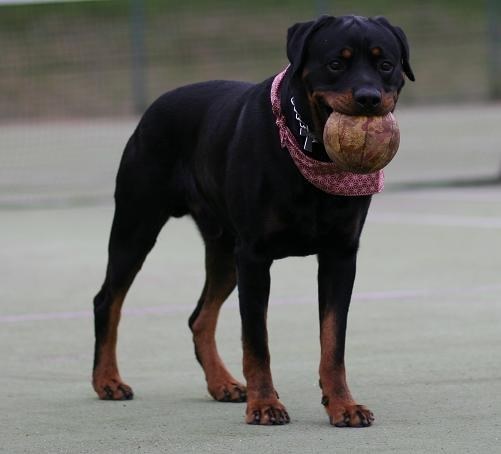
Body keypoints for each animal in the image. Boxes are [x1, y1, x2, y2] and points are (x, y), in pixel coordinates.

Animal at [92, 14, 412, 426]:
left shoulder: (341, 254)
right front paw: (264, 404)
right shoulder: (255, 256)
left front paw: (343, 404)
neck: (310, 149)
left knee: (200, 317)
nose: (369, 97)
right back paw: (107, 380)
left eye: (385, 64)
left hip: (224, 249)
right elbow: (257, 340)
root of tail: (154, 107)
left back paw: (222, 383)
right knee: (108, 300)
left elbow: (333, 341)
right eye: (335, 64)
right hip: (138, 224)